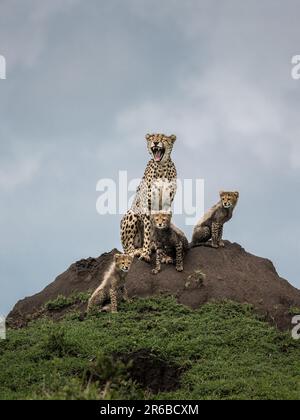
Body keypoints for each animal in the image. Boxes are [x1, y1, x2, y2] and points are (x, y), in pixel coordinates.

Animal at [120, 134, 177, 262]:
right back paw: (139, 250)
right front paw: (145, 254)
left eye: (163, 138)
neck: (161, 167)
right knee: (128, 249)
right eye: (152, 138)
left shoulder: (166, 206)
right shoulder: (147, 206)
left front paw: (164, 255)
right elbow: (147, 231)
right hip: (132, 213)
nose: (155, 142)